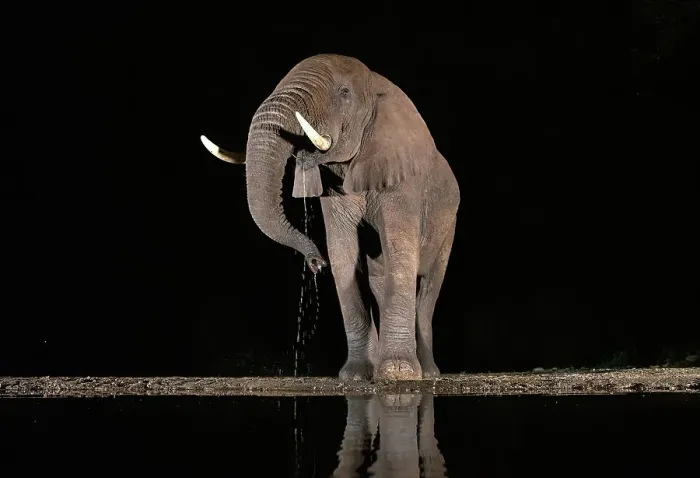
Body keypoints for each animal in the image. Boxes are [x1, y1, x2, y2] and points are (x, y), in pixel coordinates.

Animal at [200, 54, 460, 381]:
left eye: (344, 93)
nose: (314, 262)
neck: (378, 85)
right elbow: (343, 253)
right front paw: (356, 377)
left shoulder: (403, 181)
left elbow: (400, 251)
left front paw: (397, 374)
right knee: (380, 280)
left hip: (449, 223)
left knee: (428, 289)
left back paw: (428, 374)